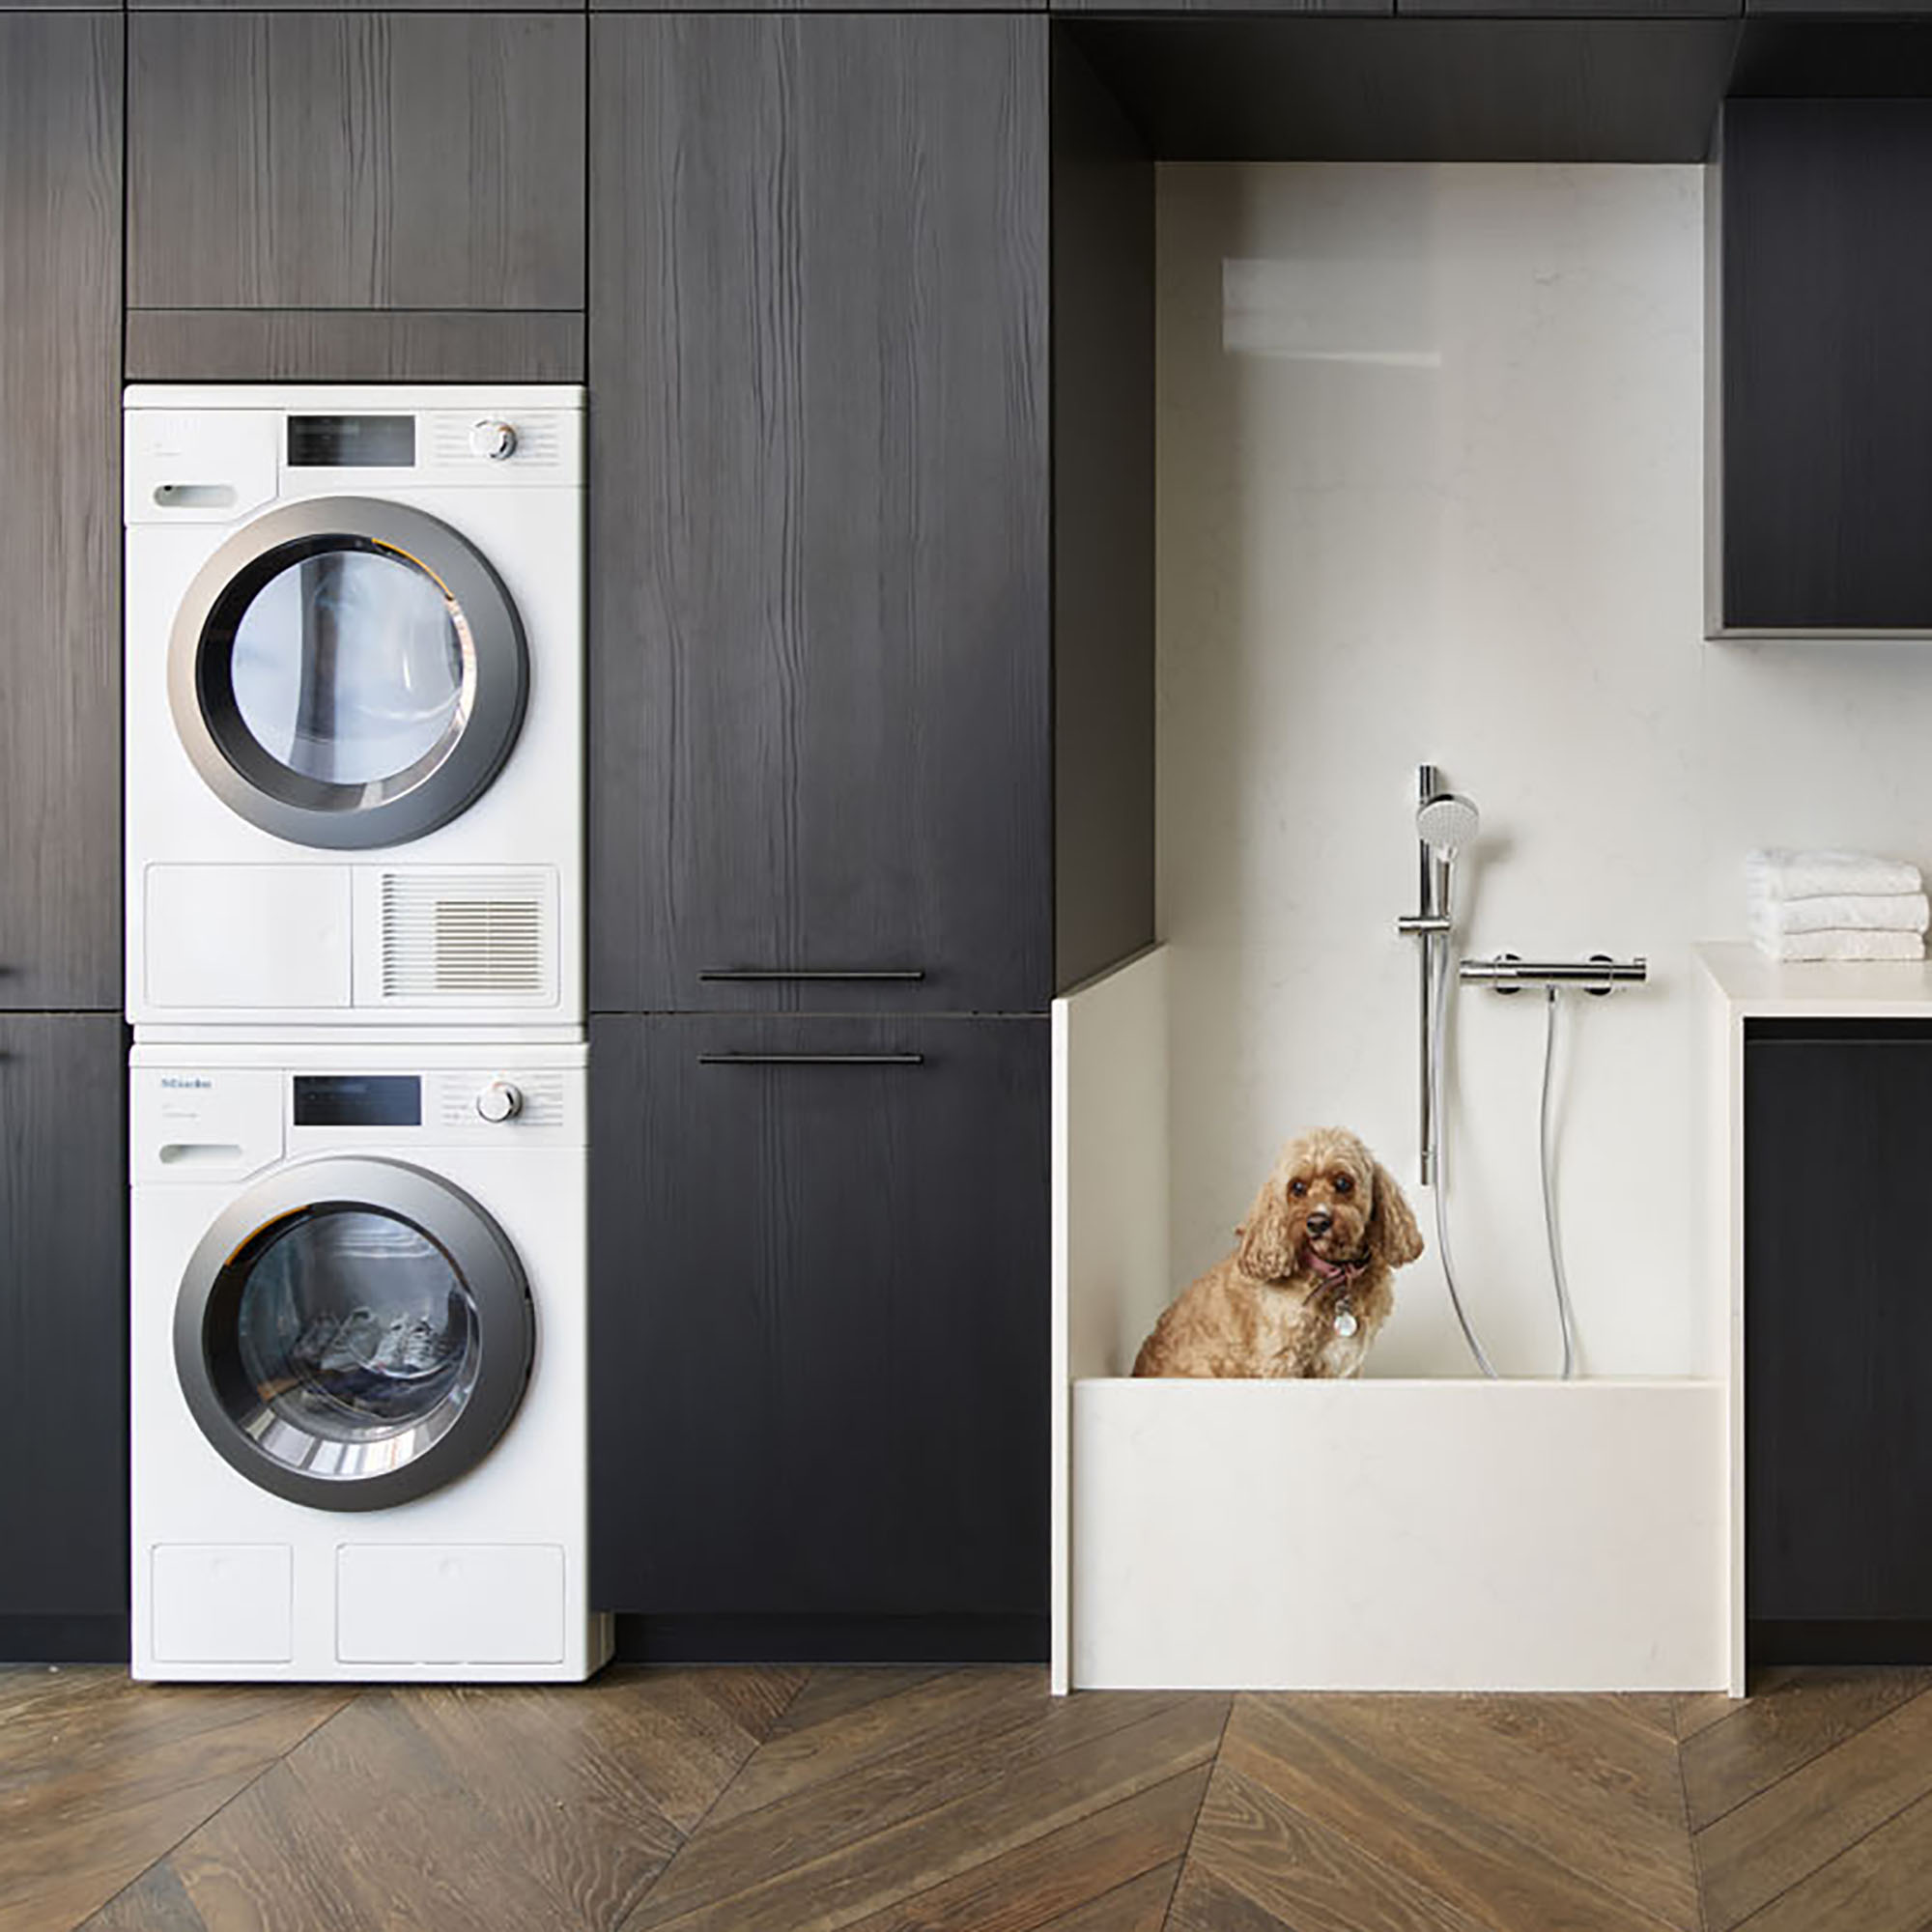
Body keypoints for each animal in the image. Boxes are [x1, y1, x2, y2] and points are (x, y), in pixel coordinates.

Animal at [1128, 1128, 1430, 1383]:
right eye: (1297, 1187)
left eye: (1344, 1182)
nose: (1317, 1222)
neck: (1333, 1272)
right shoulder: (1281, 1361)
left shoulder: (1344, 1368)